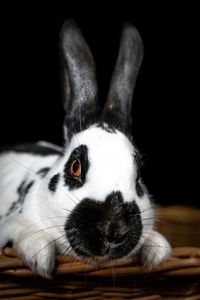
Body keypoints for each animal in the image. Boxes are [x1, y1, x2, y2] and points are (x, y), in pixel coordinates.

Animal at [0, 19, 171, 278]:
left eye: (139, 176)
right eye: (75, 166)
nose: (113, 230)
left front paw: (156, 253)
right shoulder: (10, 224)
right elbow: (32, 237)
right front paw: (41, 261)